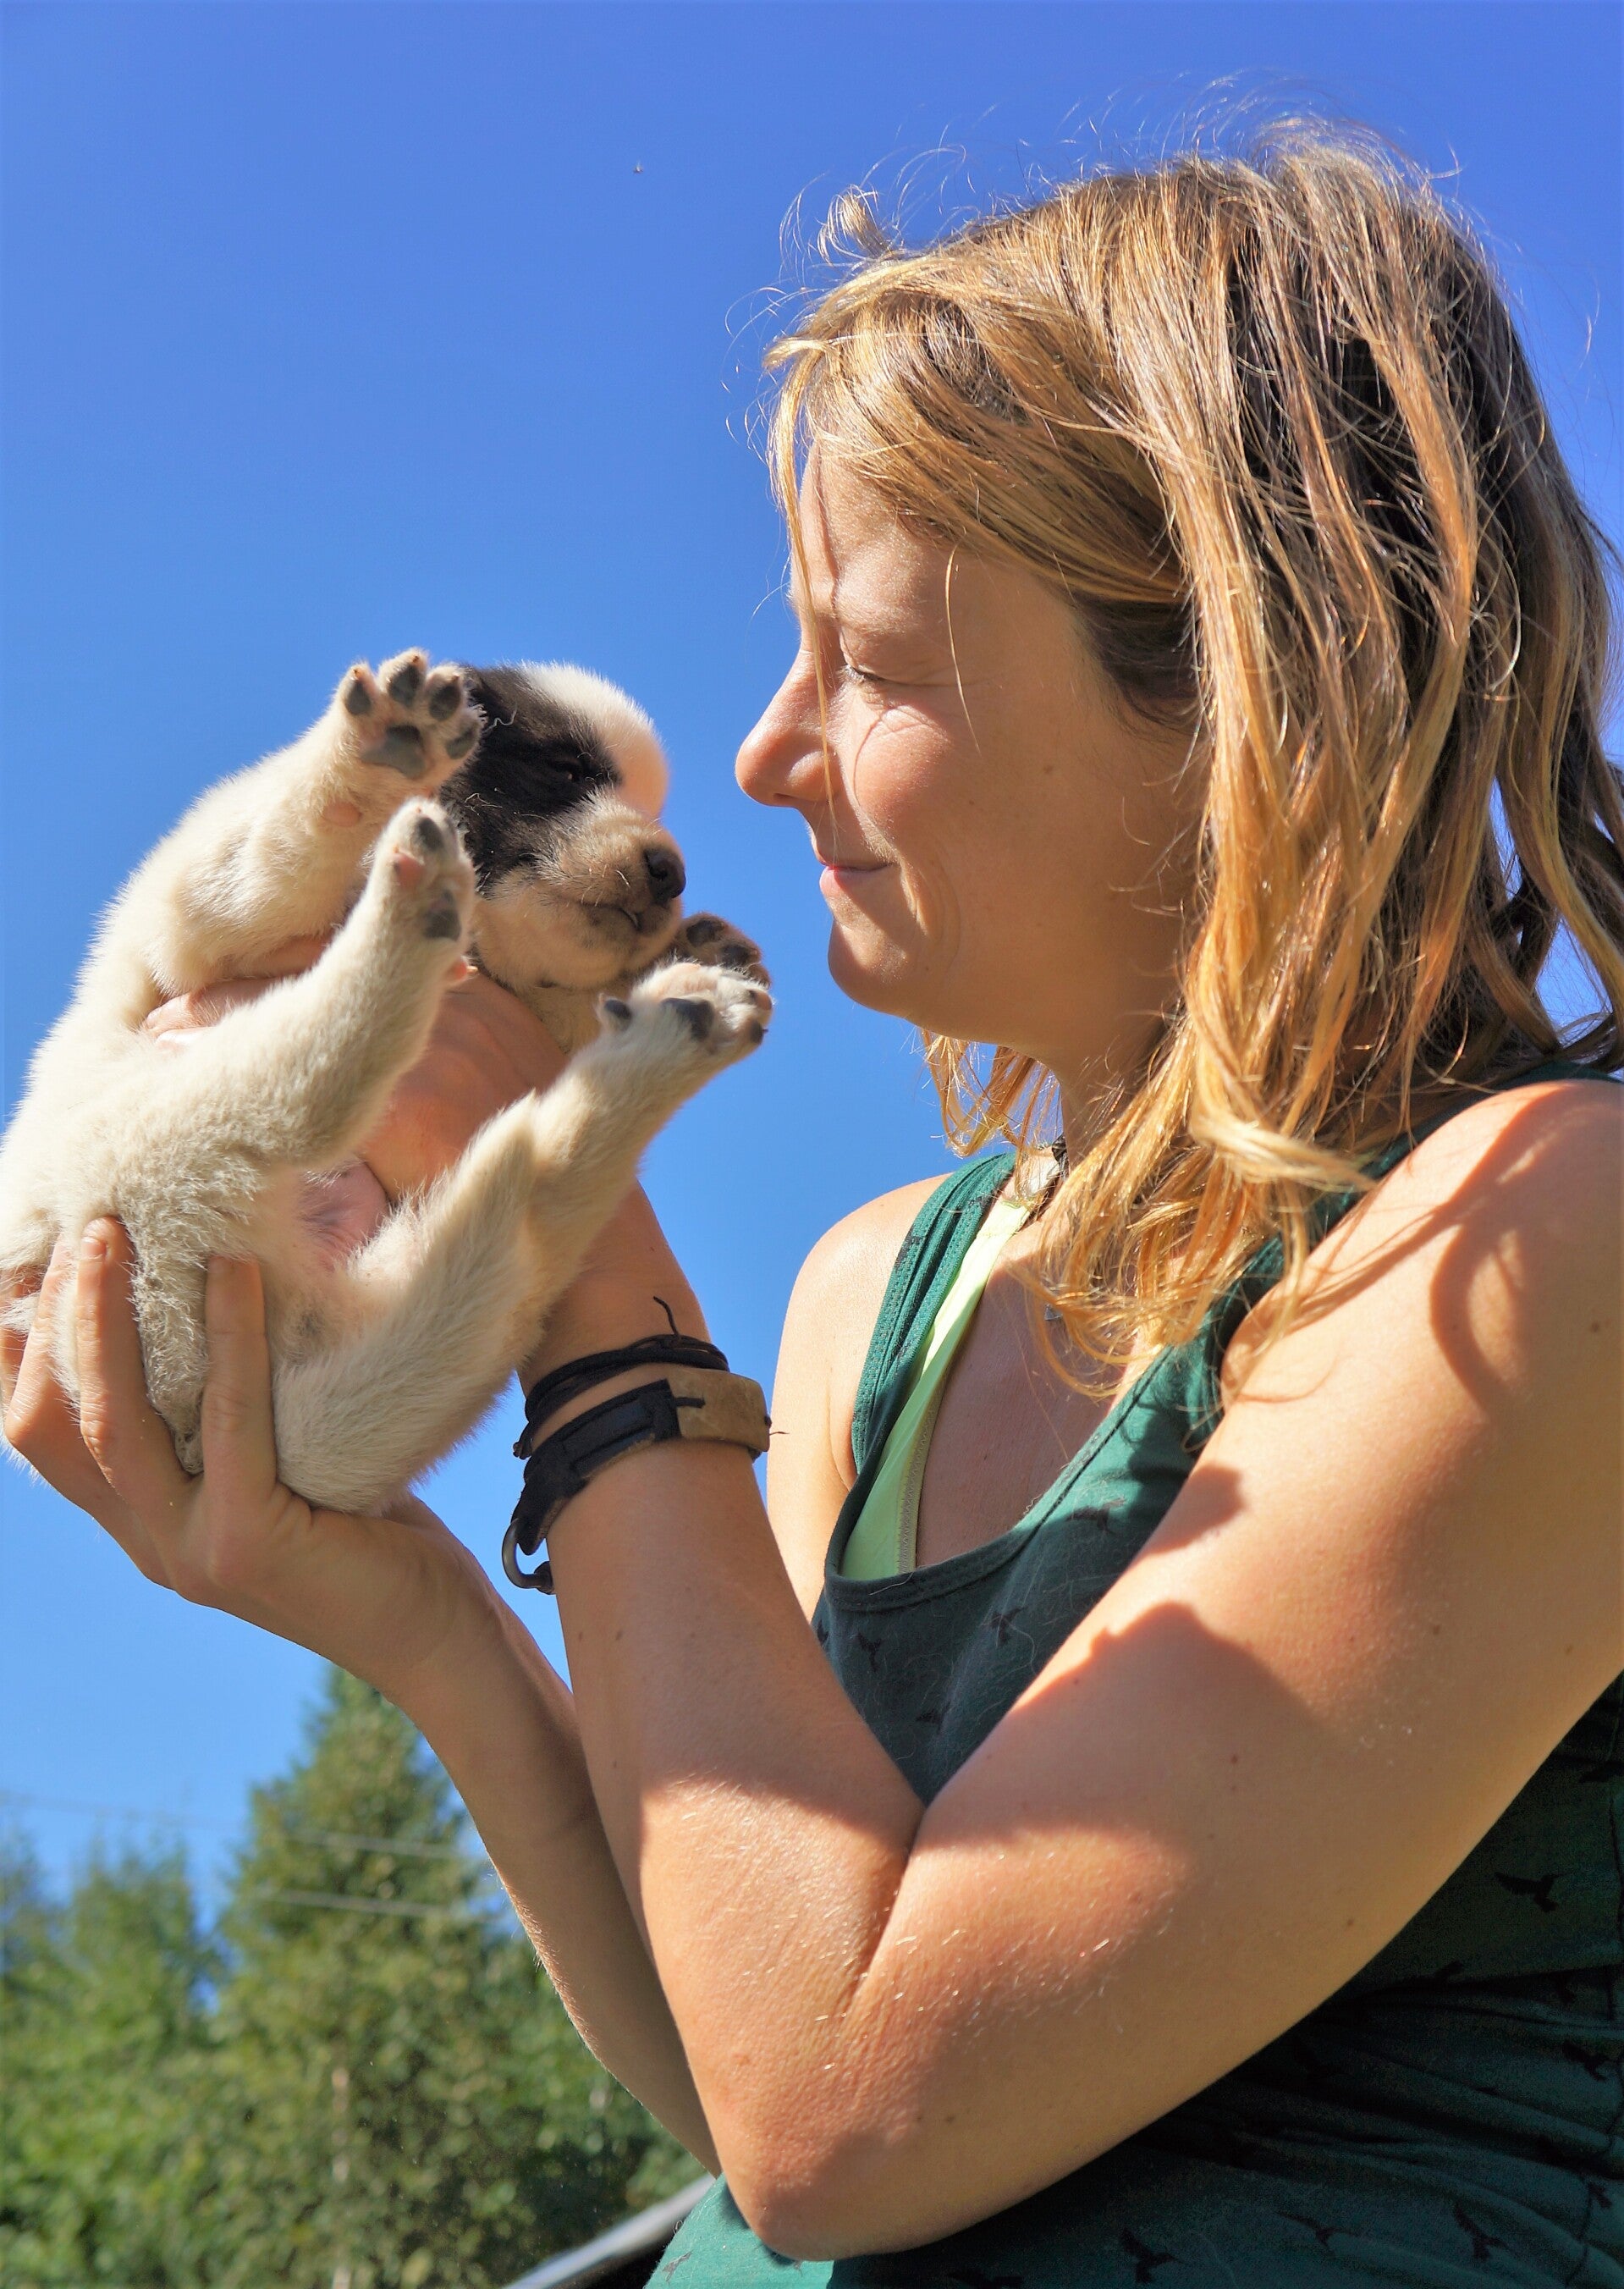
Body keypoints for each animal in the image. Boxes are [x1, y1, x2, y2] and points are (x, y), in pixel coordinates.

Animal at [0, 650, 770, 1514]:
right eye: (565, 770)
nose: (670, 873)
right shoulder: (199, 918)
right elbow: (278, 847)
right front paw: (377, 758)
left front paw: (690, 950)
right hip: (149, 1141)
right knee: (310, 1097)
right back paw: (419, 906)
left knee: (525, 1199)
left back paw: (673, 1024)